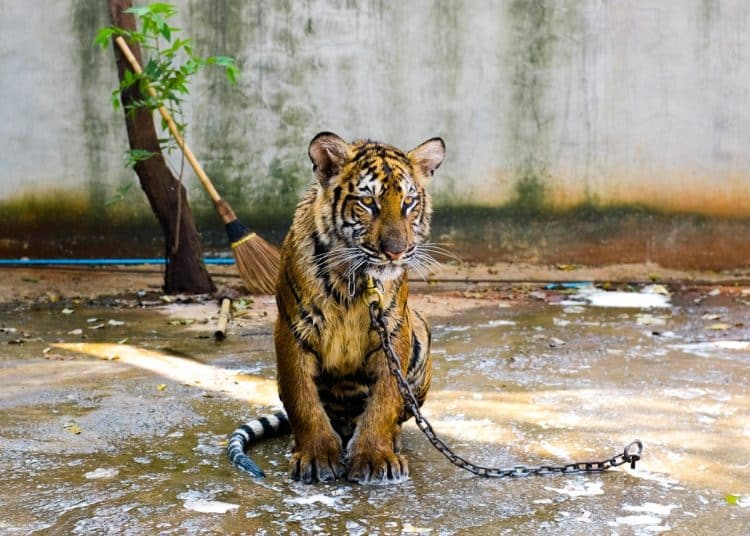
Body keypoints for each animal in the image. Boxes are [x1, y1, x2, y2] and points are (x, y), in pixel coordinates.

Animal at [227, 131, 445, 484]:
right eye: (368, 203)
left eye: (409, 203)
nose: (396, 253)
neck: (351, 280)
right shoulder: (293, 329)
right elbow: (302, 400)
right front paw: (316, 455)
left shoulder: (392, 330)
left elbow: (384, 401)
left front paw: (375, 456)